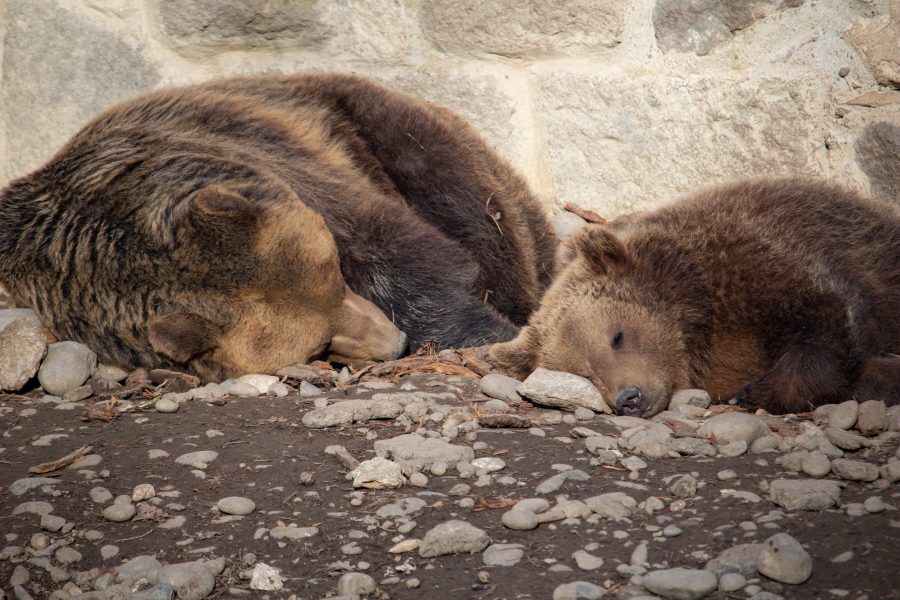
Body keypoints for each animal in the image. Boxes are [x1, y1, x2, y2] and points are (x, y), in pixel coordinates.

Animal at [0, 74, 556, 380]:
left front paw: (490, 332)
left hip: (376, 124)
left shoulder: (279, 164)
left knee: (476, 208)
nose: (394, 344)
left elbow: (407, 256)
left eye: (335, 272)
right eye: (317, 346)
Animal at [492, 178, 900, 418]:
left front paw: (756, 391)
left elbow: (826, 325)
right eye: (585, 374)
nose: (629, 398)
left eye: (617, 336)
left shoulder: (759, 264)